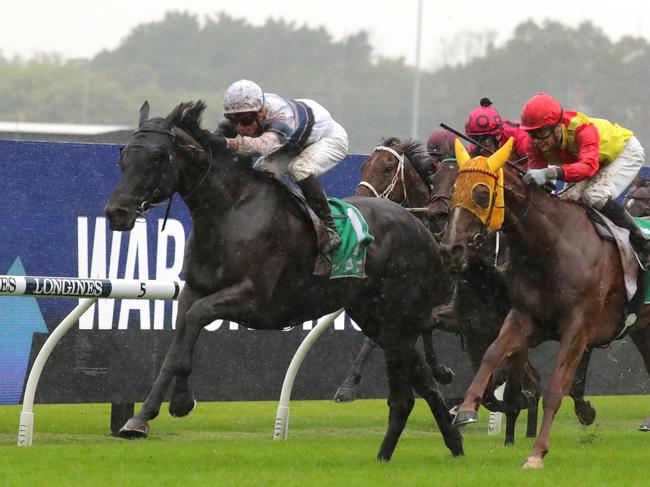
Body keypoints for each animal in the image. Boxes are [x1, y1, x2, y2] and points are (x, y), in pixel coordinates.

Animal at [104, 102, 464, 462]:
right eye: (123, 157)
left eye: (158, 155)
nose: (116, 212)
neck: (231, 211)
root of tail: (422, 228)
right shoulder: (193, 291)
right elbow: (178, 344)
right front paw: (154, 412)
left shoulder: (254, 297)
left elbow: (195, 320)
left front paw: (165, 407)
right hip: (377, 319)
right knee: (425, 384)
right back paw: (452, 445)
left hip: (397, 318)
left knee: (407, 393)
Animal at [436, 137, 648, 468]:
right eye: (456, 188)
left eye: (482, 193)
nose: (450, 250)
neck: (554, 245)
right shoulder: (522, 318)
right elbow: (491, 355)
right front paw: (467, 409)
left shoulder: (577, 329)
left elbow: (554, 389)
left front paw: (536, 453)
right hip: (641, 328)